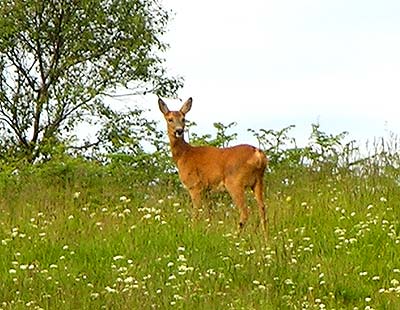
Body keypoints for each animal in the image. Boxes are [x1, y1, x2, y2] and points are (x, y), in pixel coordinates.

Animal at [157, 97, 268, 237]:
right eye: (170, 119)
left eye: (183, 119)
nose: (179, 130)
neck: (184, 154)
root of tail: (258, 154)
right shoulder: (206, 190)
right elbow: (208, 214)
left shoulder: (195, 186)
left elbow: (196, 213)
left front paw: (193, 231)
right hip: (258, 181)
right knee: (263, 209)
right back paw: (265, 239)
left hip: (235, 182)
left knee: (245, 212)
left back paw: (234, 236)